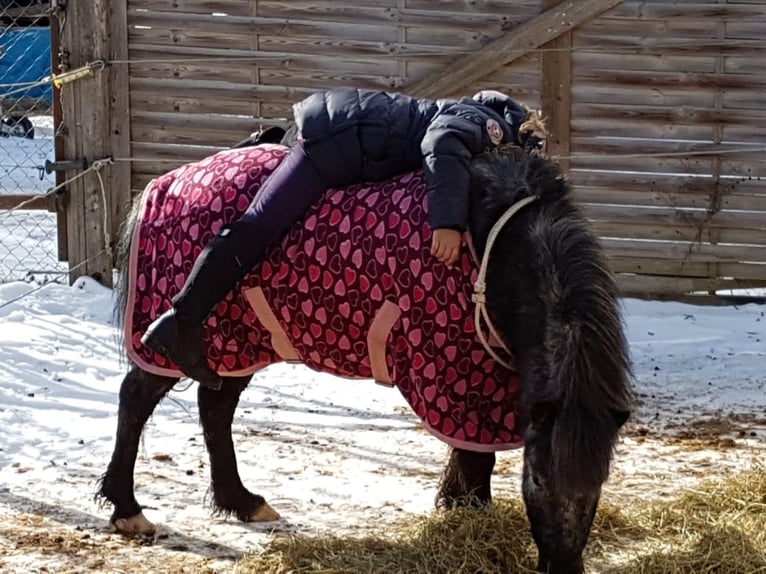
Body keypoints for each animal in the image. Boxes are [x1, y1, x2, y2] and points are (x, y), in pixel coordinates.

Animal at [97, 143, 633, 574]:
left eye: (599, 482)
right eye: (537, 477)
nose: (563, 569)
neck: (492, 245)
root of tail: (164, 184)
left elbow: (472, 456)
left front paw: (456, 508)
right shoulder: (456, 377)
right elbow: (476, 459)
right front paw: (468, 518)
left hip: (238, 343)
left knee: (215, 409)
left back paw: (243, 502)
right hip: (194, 343)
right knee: (136, 399)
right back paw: (128, 509)